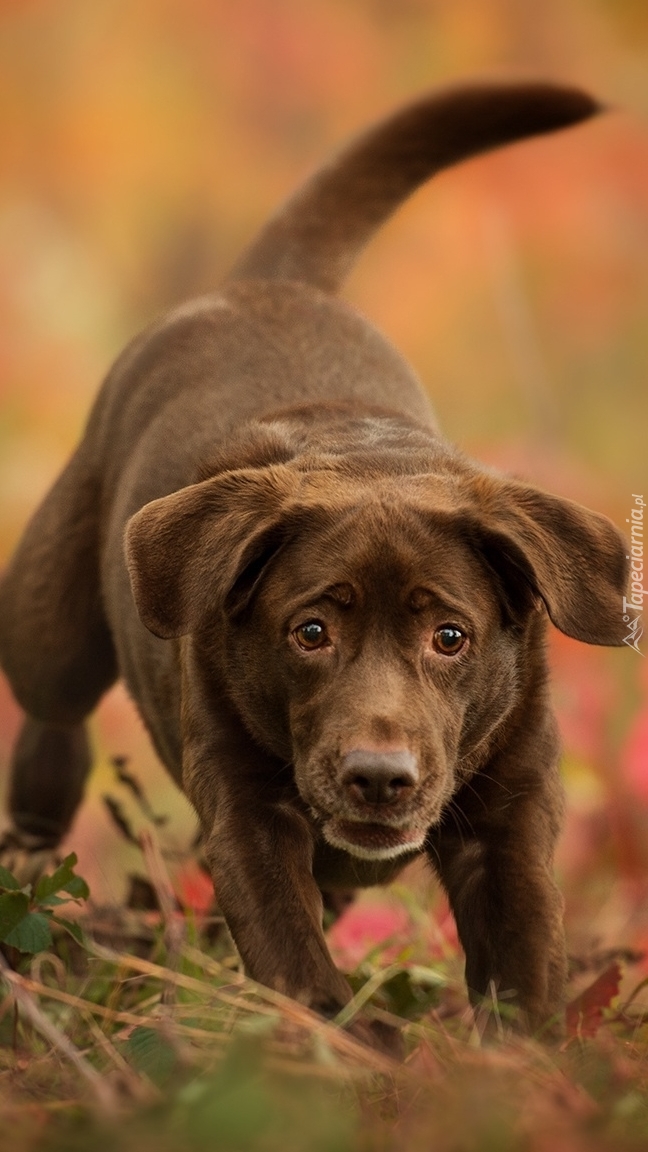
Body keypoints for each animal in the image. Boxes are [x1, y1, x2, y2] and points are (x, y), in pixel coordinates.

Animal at [0, 85, 627, 1050]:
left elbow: (522, 946)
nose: (379, 777)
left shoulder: (510, 812)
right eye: (310, 631)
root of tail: (271, 280)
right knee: (51, 713)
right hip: (53, 630)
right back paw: (36, 837)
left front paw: (516, 1057)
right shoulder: (246, 809)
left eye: (452, 636)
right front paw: (344, 1043)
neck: (365, 457)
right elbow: (288, 942)